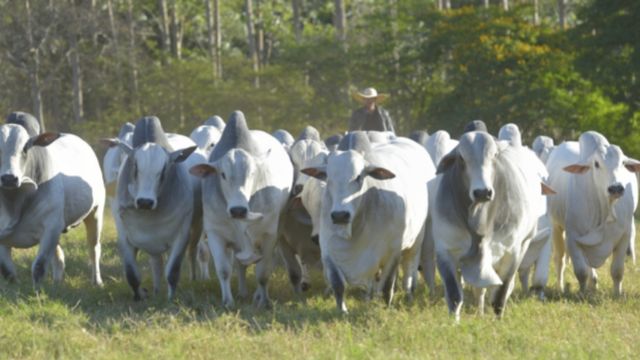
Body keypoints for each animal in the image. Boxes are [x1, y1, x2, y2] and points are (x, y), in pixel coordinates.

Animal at [189, 110, 292, 306]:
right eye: (222, 174)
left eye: (253, 172)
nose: (238, 210)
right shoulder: (215, 233)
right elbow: (224, 270)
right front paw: (227, 301)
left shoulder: (269, 235)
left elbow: (263, 274)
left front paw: (264, 302)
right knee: (240, 266)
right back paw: (243, 292)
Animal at [302, 132, 432, 312]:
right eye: (328, 178)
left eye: (359, 177)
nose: (340, 215)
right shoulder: (328, 251)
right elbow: (338, 285)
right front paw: (342, 311)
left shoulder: (393, 253)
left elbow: (387, 287)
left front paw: (386, 308)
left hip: (415, 244)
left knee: (409, 273)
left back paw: (409, 296)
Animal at [548, 131, 636, 296]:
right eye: (596, 164)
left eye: (623, 163)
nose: (616, 188)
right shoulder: (573, 237)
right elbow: (581, 271)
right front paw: (581, 294)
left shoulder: (624, 236)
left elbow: (617, 271)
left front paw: (617, 294)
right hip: (556, 226)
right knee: (560, 260)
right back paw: (561, 287)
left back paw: (593, 284)